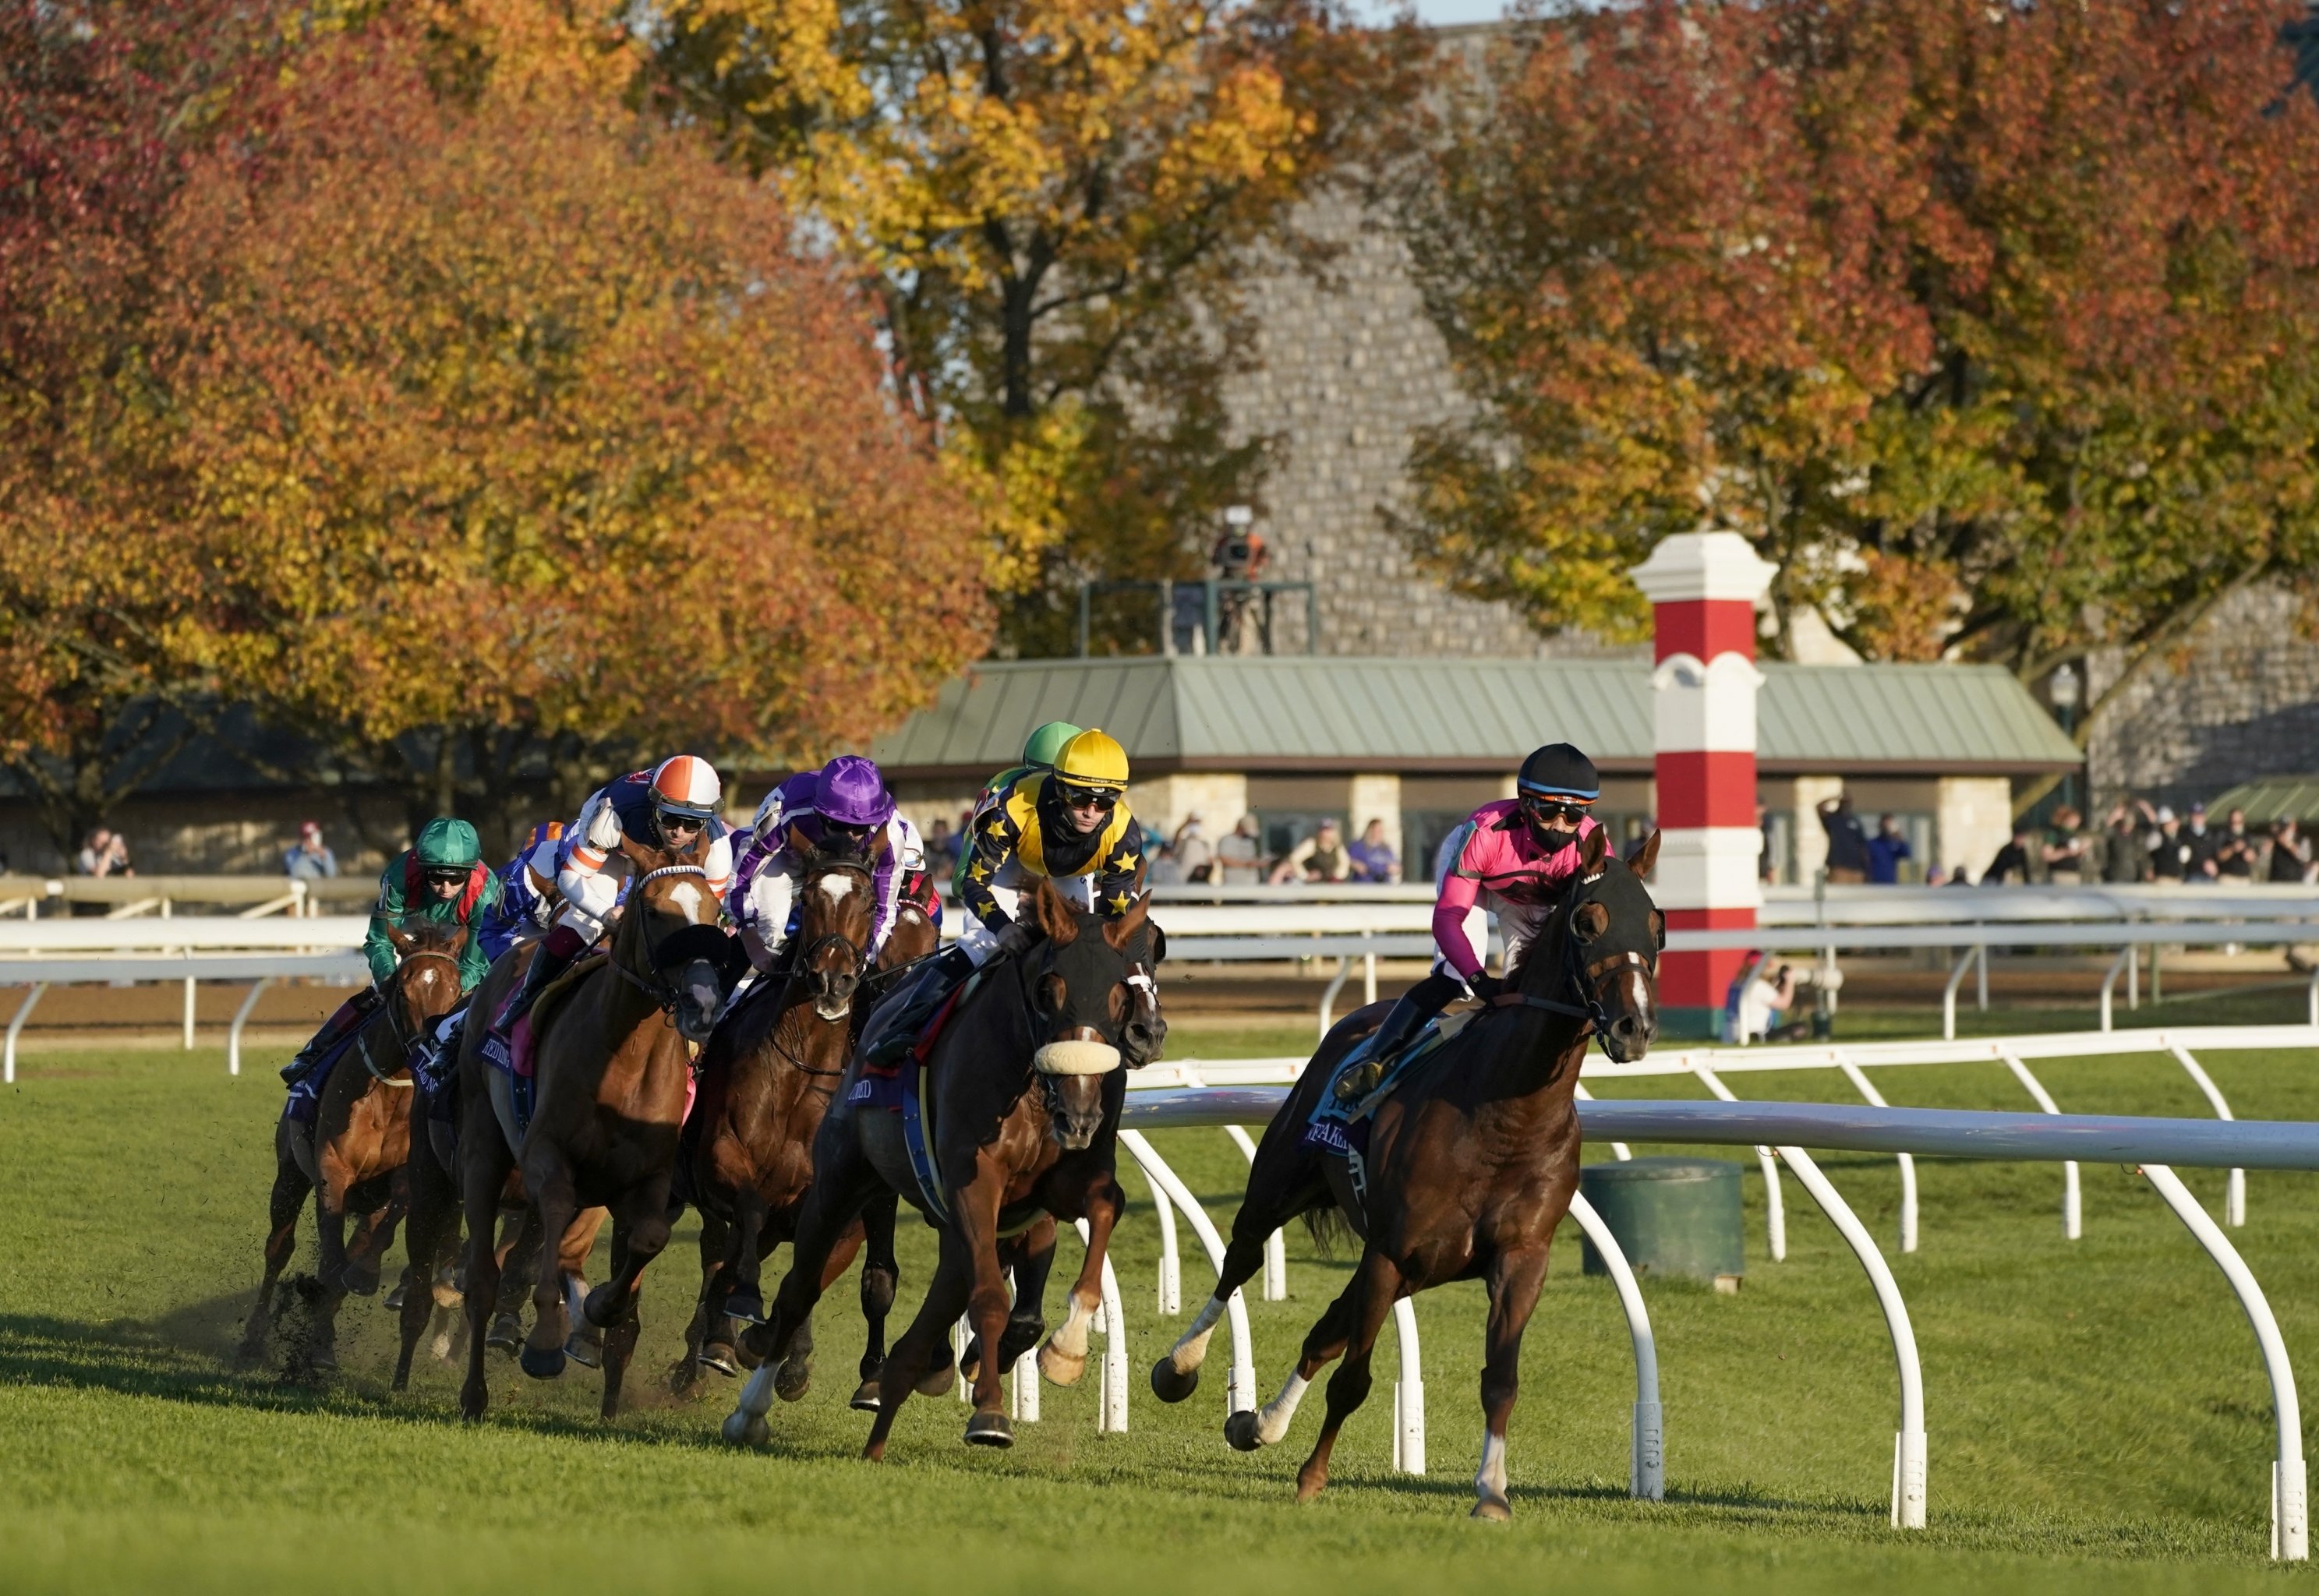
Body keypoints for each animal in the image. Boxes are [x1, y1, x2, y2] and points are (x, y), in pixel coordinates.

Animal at [237, 923, 468, 1373]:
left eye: (454, 992)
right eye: (404, 990)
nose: (428, 1049)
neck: (390, 1094)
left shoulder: (405, 1176)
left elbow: (373, 1237)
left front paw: (360, 1278)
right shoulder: (332, 1168)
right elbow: (329, 1260)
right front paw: (320, 1341)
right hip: (290, 1175)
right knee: (279, 1249)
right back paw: (254, 1336)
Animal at [452, 835, 733, 1419]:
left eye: (714, 912)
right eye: (655, 912)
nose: (703, 1005)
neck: (625, 1057)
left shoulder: (650, 1177)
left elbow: (648, 1238)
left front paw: (601, 1309)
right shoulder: (547, 1154)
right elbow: (552, 1216)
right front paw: (544, 1342)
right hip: (483, 1148)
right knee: (484, 1279)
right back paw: (475, 1392)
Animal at [677, 839, 900, 1392]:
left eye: (868, 900)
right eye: (811, 896)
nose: (832, 980)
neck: (802, 1070)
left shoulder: (840, 1209)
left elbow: (812, 1272)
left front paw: (785, 1352)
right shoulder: (721, 1160)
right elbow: (750, 1215)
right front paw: (734, 1324)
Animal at [719, 877, 1159, 1466]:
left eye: (1118, 993)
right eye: (1049, 991)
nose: (1080, 1112)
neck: (1030, 1085)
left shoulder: (1062, 1184)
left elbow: (1106, 1209)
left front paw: (1064, 1351)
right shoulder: (974, 1182)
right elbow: (991, 1298)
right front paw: (990, 1414)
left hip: (953, 1232)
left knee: (922, 1327)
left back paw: (882, 1429)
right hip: (839, 1182)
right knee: (798, 1290)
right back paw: (751, 1410)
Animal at [1150, 830, 1660, 1512]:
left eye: (1656, 927)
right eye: (1586, 922)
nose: (1634, 1028)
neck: (1505, 1116)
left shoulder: (1519, 1259)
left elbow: (1500, 1380)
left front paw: (1491, 1492)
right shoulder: (1391, 1251)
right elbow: (1352, 1380)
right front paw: (1312, 1477)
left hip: (1418, 1266)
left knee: (1324, 1328)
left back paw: (1260, 1423)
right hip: (1287, 1190)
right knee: (1242, 1263)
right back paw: (1179, 1367)